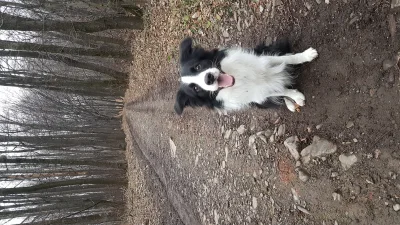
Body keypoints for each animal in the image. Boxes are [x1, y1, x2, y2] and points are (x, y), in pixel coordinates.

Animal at [173, 37, 318, 115]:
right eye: (196, 89)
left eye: (197, 67)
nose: (209, 78)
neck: (239, 78)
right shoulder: (259, 94)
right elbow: (281, 91)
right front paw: (296, 96)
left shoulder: (263, 59)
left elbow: (288, 59)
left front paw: (306, 55)